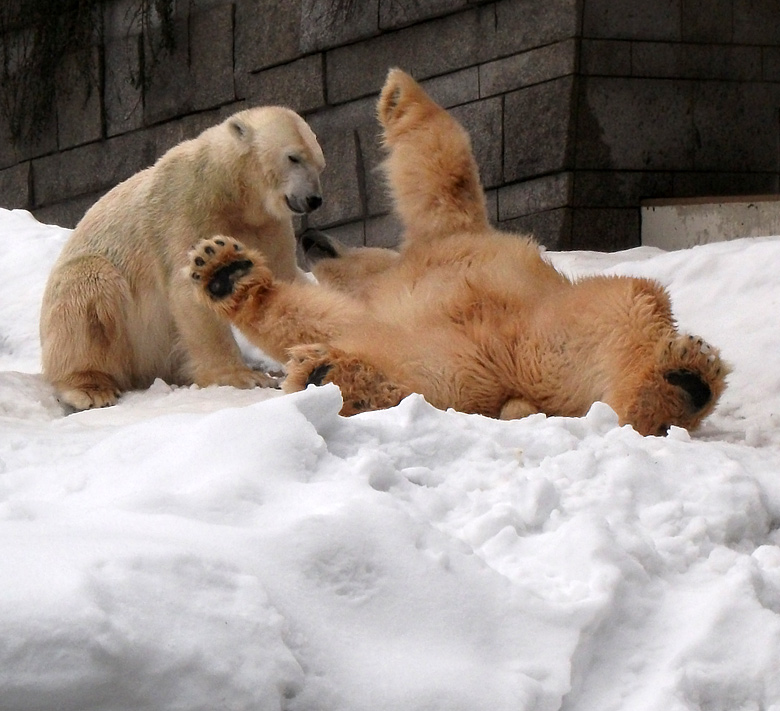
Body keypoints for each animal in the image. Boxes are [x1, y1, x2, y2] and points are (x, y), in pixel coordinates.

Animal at [38, 108, 326, 414]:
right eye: (293, 157)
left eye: (320, 164)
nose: (313, 199)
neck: (229, 189)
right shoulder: (186, 209)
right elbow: (190, 289)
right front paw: (243, 376)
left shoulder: (268, 225)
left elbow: (285, 278)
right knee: (89, 288)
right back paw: (90, 388)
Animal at [186, 72, 728, 440]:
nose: (310, 236)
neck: (390, 272)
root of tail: (524, 385)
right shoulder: (398, 291)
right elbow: (315, 320)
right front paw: (225, 271)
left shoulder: (446, 240)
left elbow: (440, 172)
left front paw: (398, 91)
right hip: (469, 361)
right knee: (417, 378)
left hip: (555, 323)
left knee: (632, 301)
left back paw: (679, 382)